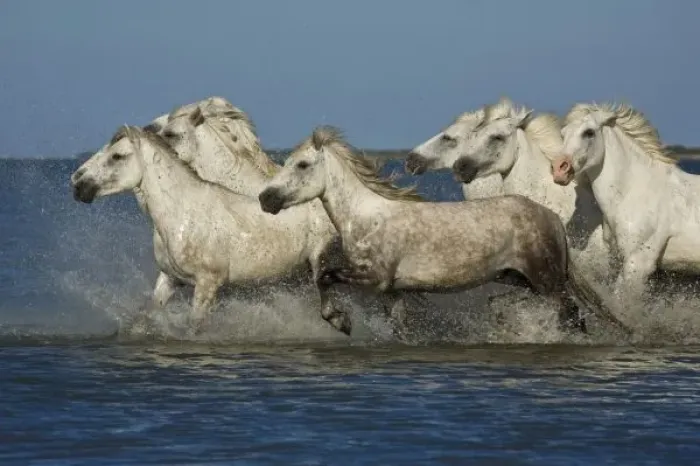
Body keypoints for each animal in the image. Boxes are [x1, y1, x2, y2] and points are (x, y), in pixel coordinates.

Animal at [70, 125, 352, 335]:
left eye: (117, 156)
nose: (78, 183)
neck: (182, 214)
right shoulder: (170, 278)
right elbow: (144, 318)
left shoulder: (208, 283)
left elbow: (194, 328)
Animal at [258, 126, 631, 338]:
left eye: (302, 165)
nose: (265, 198)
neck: (367, 218)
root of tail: (551, 218)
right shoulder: (391, 291)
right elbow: (400, 327)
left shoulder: (372, 277)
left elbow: (324, 276)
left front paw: (340, 321)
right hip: (519, 277)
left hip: (547, 280)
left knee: (571, 315)